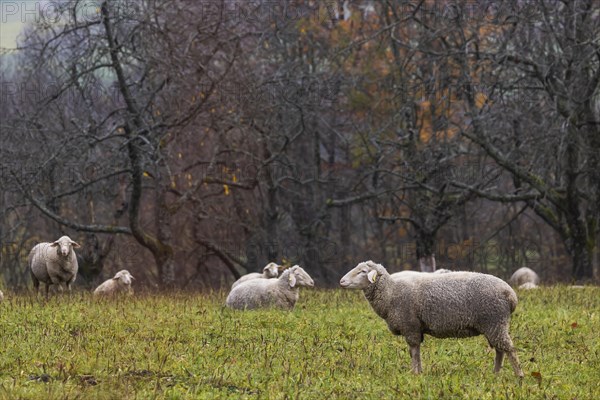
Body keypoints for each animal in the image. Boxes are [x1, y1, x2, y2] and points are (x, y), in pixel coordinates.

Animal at [340, 260, 524, 376]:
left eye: (363, 271)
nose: (341, 281)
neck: (390, 292)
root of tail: (511, 295)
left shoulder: (410, 326)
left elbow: (414, 351)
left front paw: (415, 374)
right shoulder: (414, 328)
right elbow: (414, 352)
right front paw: (418, 372)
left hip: (495, 321)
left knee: (508, 348)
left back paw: (519, 375)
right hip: (494, 325)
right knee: (500, 349)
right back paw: (496, 374)